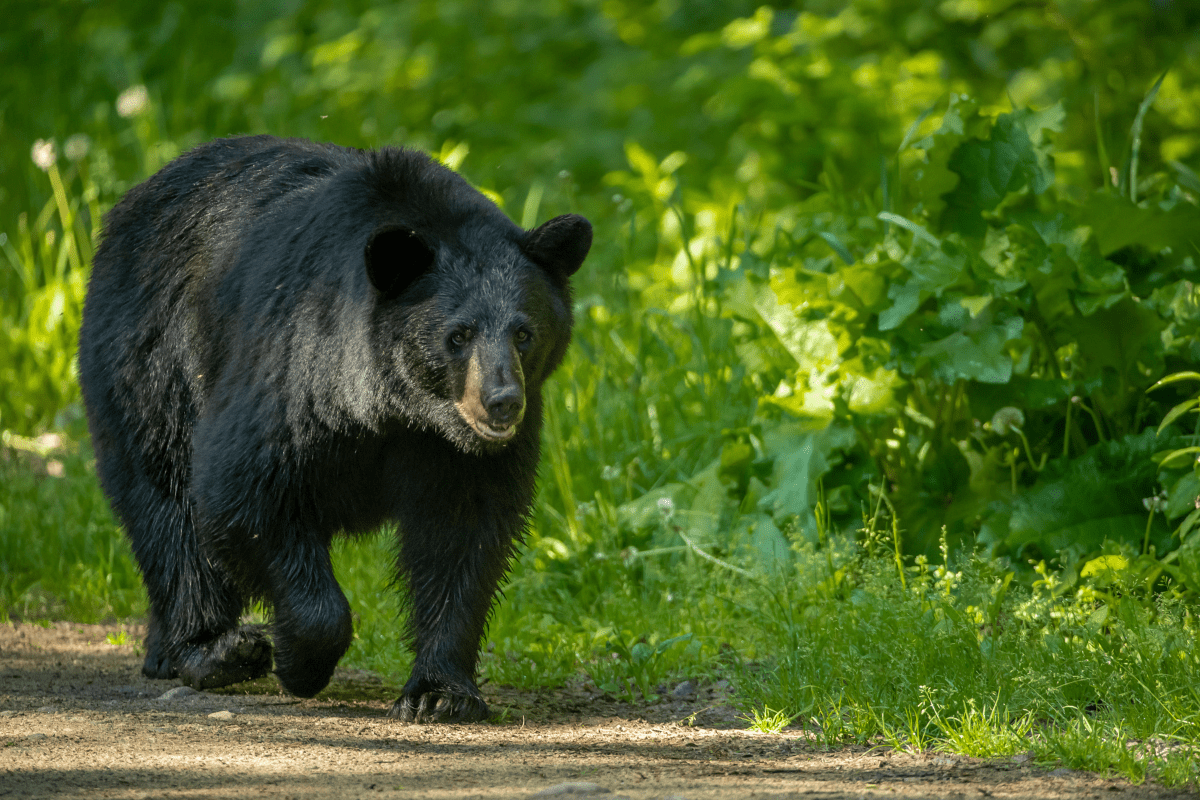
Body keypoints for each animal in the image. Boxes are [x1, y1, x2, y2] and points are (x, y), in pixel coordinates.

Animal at [77, 135, 591, 722]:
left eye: (524, 333)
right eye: (458, 335)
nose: (502, 403)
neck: (398, 408)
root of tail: (132, 201)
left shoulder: (457, 454)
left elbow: (463, 533)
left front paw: (440, 693)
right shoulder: (295, 369)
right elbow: (244, 489)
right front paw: (298, 661)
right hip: (149, 358)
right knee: (167, 502)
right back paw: (212, 650)